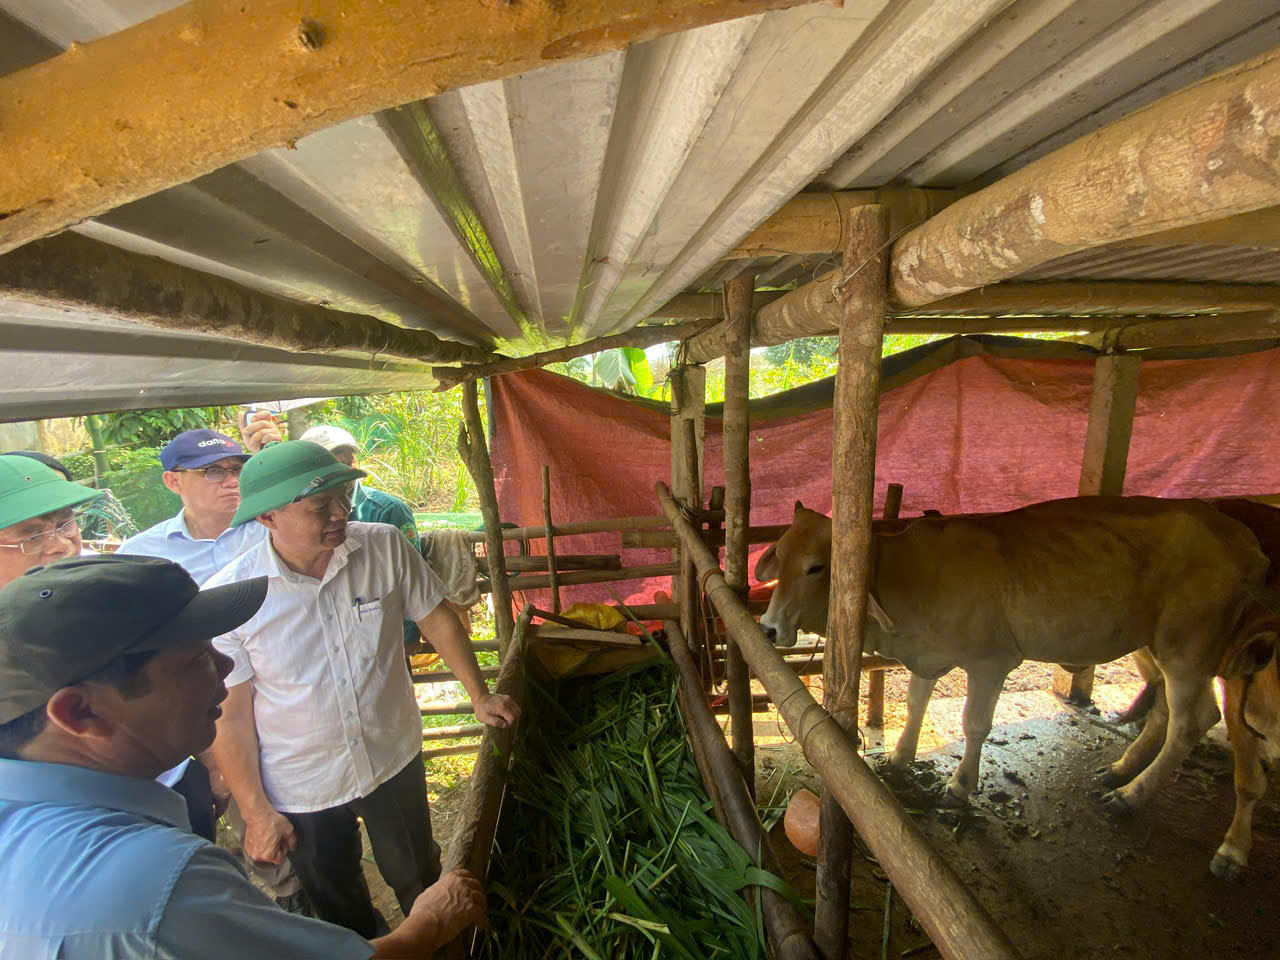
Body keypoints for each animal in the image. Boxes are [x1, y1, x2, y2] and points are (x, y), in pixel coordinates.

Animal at [757, 496, 1269, 819]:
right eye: (778, 554)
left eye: (816, 567)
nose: (769, 627)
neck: (909, 571)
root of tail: (1245, 541)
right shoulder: (929, 656)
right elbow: (918, 705)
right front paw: (899, 760)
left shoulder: (990, 663)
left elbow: (974, 725)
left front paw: (959, 788)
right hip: (1164, 648)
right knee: (1169, 709)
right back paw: (1120, 769)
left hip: (1188, 650)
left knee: (1192, 721)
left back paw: (1130, 797)